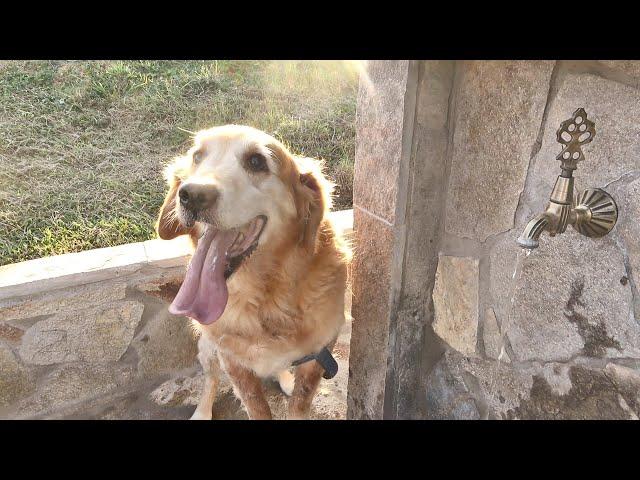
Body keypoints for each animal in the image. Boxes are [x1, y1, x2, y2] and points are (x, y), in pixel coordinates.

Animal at [157, 124, 352, 420]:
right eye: (197, 156)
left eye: (257, 161)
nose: (192, 195)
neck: (266, 298)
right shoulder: (232, 359)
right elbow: (256, 405)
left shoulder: (320, 351)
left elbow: (300, 402)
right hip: (208, 346)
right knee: (210, 378)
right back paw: (203, 410)